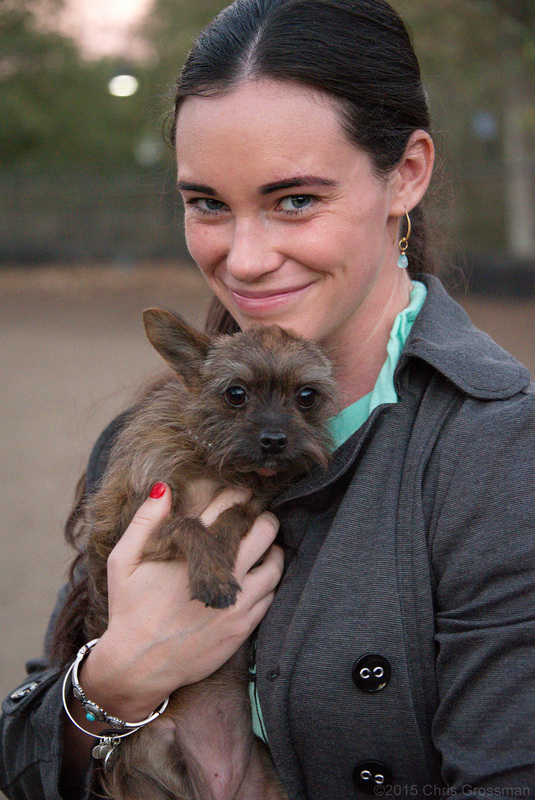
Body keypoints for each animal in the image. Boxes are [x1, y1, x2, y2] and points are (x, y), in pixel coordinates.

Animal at [56, 310, 338, 800]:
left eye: (307, 396)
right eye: (236, 393)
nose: (275, 439)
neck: (213, 460)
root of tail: (215, 785)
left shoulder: (254, 506)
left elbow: (235, 515)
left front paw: (222, 545)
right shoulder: (131, 526)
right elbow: (188, 524)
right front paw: (213, 574)